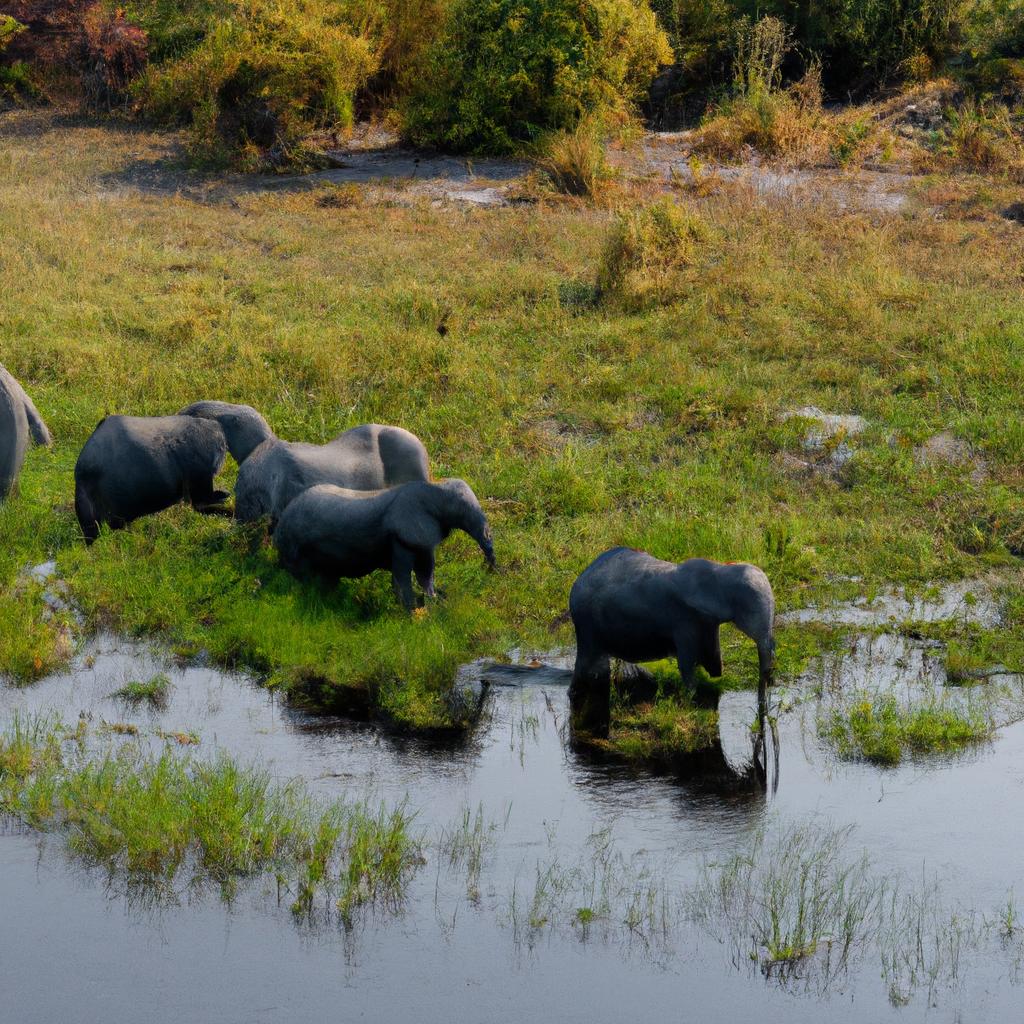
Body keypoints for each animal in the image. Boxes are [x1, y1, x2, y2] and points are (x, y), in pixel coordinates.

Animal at [272, 477, 495, 610]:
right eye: (461, 512)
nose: (490, 569)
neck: (435, 488)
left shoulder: (422, 537)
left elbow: (426, 571)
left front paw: (433, 602)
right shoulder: (403, 535)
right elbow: (404, 573)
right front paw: (411, 610)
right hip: (294, 544)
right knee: (301, 577)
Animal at [565, 548, 770, 741]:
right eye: (749, 611)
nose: (757, 730)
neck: (720, 569)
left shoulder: (707, 622)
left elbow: (714, 664)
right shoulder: (683, 620)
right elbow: (687, 666)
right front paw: (690, 702)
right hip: (587, 625)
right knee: (592, 667)